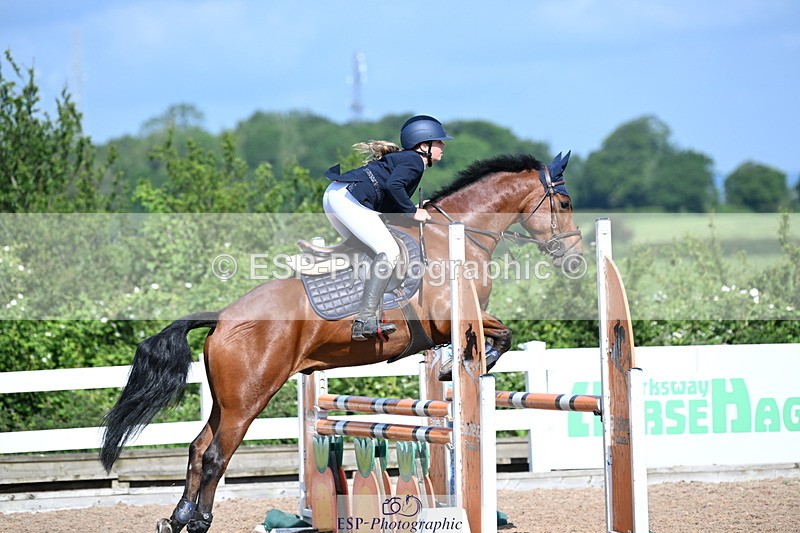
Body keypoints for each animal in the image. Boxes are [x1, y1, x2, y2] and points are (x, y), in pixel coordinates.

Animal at [99, 152, 583, 533]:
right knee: (218, 454)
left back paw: (179, 518)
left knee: (199, 448)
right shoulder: (453, 318)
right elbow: (501, 333)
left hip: (227, 399)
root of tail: (223, 318)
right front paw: (461, 365)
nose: (576, 259)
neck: (458, 234)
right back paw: (199, 520)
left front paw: (449, 367)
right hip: (248, 398)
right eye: (564, 202)